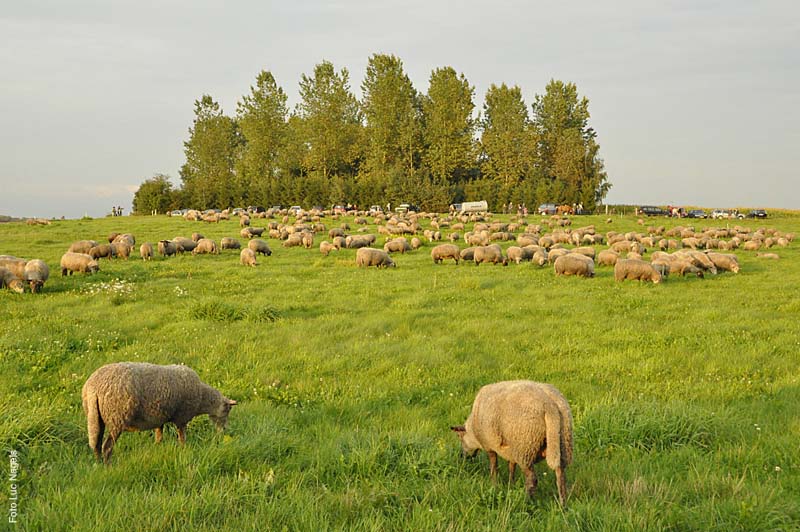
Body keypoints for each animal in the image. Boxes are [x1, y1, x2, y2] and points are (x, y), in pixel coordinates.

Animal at [82, 360, 238, 464]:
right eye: (228, 410)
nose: (224, 430)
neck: (202, 398)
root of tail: (93, 388)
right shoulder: (181, 418)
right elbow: (182, 438)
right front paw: (184, 450)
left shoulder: (158, 417)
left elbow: (159, 437)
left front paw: (157, 449)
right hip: (117, 418)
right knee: (107, 446)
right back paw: (108, 466)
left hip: (95, 417)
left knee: (96, 444)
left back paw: (99, 464)